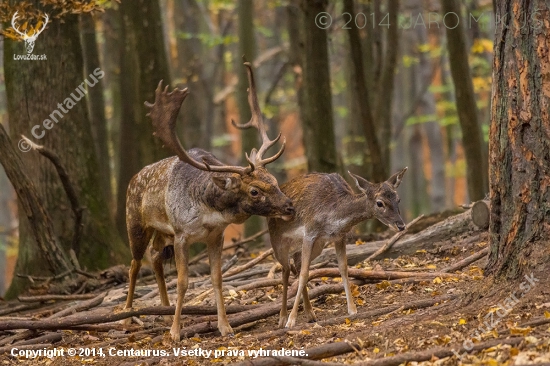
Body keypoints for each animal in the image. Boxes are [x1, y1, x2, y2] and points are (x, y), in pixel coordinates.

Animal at [122, 62, 296, 340]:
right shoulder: (182, 234)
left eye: (275, 180)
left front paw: (225, 327)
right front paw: (175, 332)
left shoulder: (217, 236)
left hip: (163, 233)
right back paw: (128, 316)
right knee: (134, 264)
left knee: (156, 257)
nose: (289, 206)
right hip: (135, 223)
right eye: (254, 191)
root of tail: (133, 179)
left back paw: (165, 310)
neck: (208, 214)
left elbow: (217, 278)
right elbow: (183, 282)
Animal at [270, 169, 408, 328]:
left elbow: (343, 268)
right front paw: (291, 321)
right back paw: (282, 318)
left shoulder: (339, 237)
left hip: (317, 246)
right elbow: (305, 274)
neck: (333, 217)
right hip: (277, 240)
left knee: (296, 264)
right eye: (380, 203)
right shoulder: (309, 233)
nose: (401, 225)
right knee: (285, 269)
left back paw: (310, 314)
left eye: (398, 199)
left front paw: (352, 309)